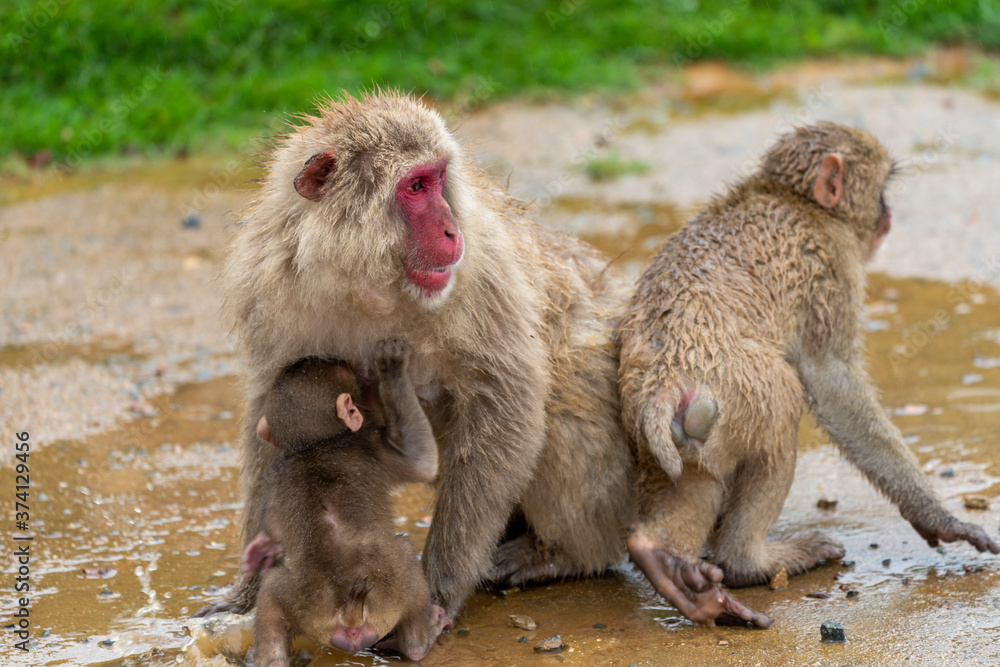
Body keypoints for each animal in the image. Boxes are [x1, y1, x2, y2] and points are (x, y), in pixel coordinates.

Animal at [198, 92, 637, 623]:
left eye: (439, 179)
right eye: (416, 186)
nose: (450, 229)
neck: (368, 283)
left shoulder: (485, 272)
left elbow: (506, 405)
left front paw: (438, 590)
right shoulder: (269, 281)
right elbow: (268, 415)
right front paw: (248, 590)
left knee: (563, 399)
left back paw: (564, 554)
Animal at [244, 339, 447, 665]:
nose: (367, 381)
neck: (312, 445)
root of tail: (349, 616)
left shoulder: (277, 473)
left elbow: (271, 526)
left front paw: (260, 549)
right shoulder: (370, 444)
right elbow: (422, 465)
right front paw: (392, 368)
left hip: (306, 607)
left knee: (271, 595)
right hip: (392, 593)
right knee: (404, 551)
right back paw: (422, 638)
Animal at [617, 122, 1000, 628]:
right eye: (881, 191)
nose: (888, 216)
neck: (796, 200)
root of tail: (663, 378)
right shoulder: (833, 265)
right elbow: (829, 377)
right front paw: (937, 517)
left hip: (681, 424)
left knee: (696, 479)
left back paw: (661, 560)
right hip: (743, 389)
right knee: (784, 405)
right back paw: (750, 562)